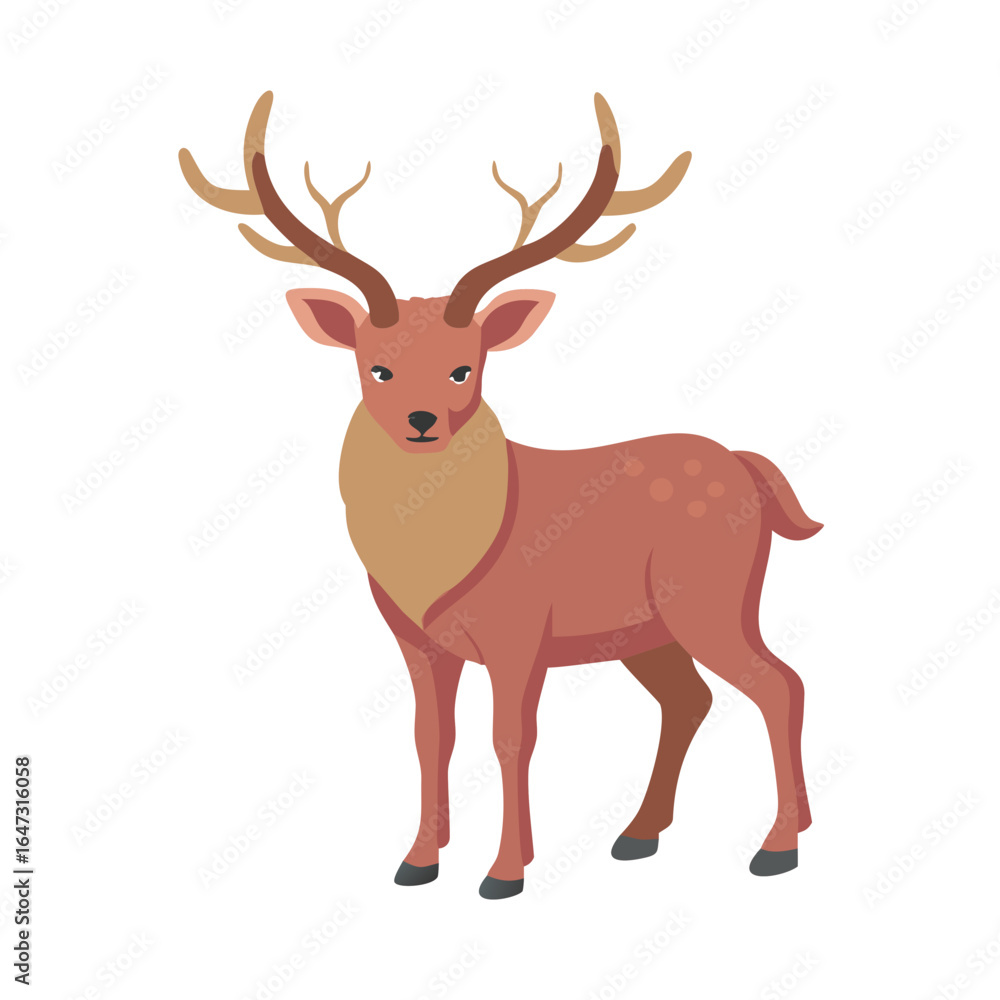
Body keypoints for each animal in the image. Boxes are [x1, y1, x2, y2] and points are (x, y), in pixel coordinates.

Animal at [179, 91, 822, 899]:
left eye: (464, 367)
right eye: (378, 368)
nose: (423, 421)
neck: (432, 564)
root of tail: (748, 467)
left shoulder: (521, 630)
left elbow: (511, 738)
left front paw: (505, 871)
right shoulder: (415, 637)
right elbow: (432, 737)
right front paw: (418, 860)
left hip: (712, 596)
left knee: (779, 683)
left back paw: (779, 845)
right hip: (645, 630)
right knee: (691, 699)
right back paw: (640, 835)